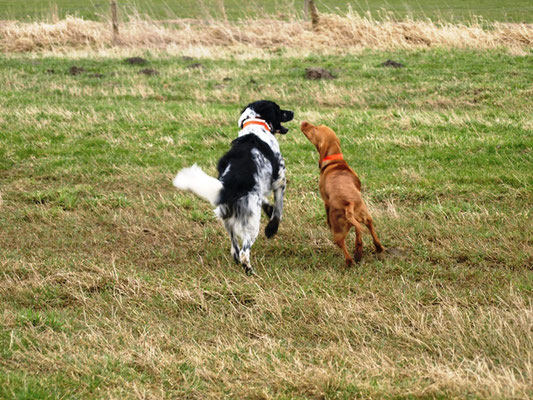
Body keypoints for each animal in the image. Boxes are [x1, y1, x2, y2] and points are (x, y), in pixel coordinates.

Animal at [172, 101, 294, 276]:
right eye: (278, 109)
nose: (292, 112)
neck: (255, 125)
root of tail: (228, 185)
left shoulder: (259, 187)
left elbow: (265, 200)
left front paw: (268, 209)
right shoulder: (279, 180)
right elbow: (278, 210)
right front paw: (272, 228)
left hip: (227, 216)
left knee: (234, 246)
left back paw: (237, 259)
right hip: (252, 223)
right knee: (244, 251)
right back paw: (249, 270)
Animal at [300, 122, 382, 266]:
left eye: (315, 129)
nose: (304, 122)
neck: (335, 161)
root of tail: (349, 204)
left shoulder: (325, 201)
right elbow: (359, 232)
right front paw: (359, 247)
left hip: (338, 232)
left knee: (343, 247)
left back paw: (350, 262)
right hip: (364, 215)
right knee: (368, 228)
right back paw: (375, 248)